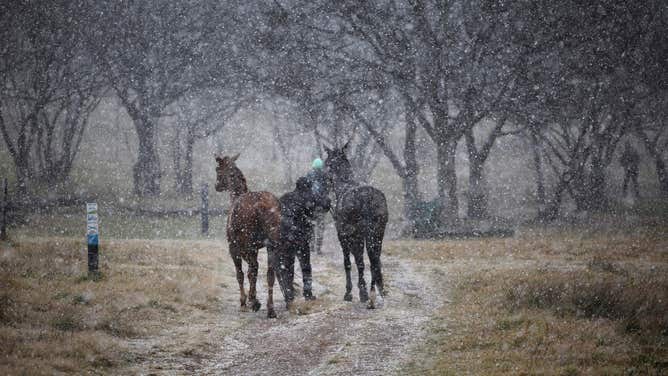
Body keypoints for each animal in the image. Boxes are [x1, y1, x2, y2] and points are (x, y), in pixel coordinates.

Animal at [217, 154, 282, 318]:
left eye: (217, 169)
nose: (217, 185)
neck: (235, 196)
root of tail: (261, 207)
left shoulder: (234, 247)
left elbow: (241, 273)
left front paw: (244, 301)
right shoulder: (256, 247)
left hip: (249, 243)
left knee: (253, 268)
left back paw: (255, 301)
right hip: (272, 243)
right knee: (270, 273)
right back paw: (270, 309)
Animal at [322, 141, 386, 308]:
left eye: (326, 163)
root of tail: (369, 198)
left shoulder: (343, 235)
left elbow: (349, 263)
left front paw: (351, 292)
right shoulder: (357, 236)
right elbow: (360, 260)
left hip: (364, 233)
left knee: (368, 261)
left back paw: (370, 297)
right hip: (378, 232)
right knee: (375, 260)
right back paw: (376, 292)